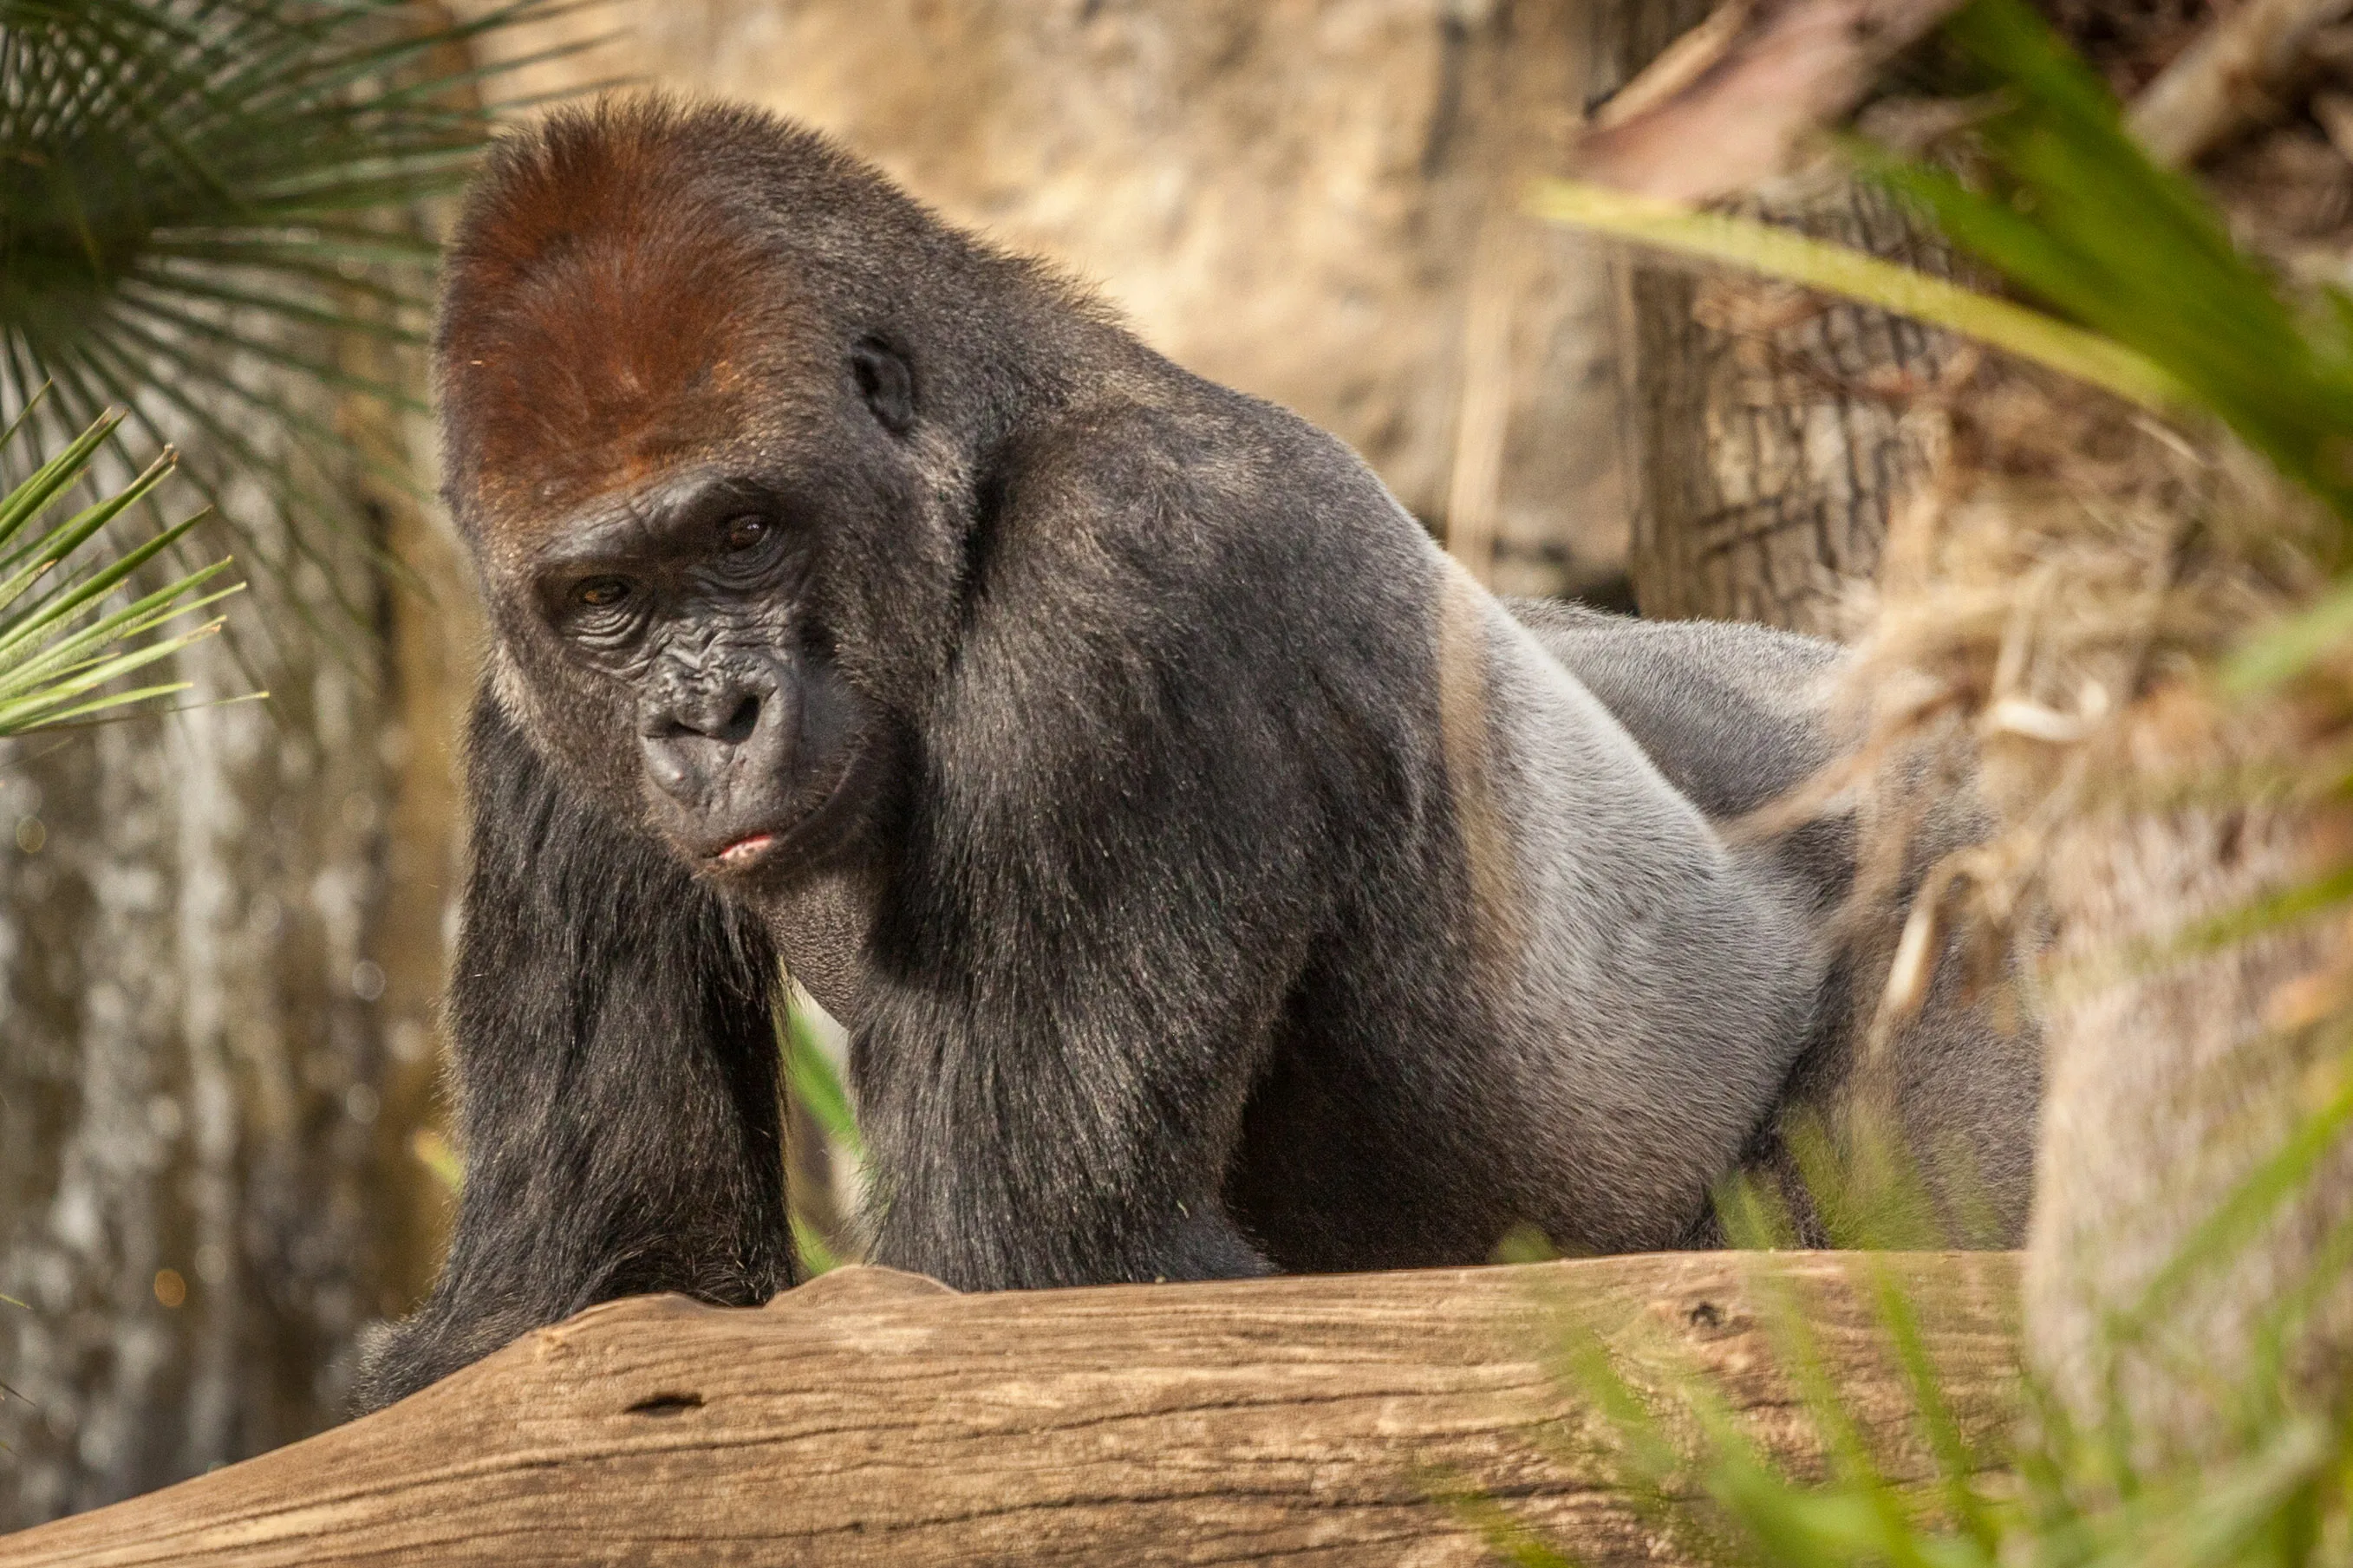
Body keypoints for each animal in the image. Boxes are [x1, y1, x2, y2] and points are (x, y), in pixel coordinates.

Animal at [353, 97, 2037, 1412]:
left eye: (744, 534)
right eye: (608, 602)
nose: (707, 720)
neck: (986, 451)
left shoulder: (1131, 578)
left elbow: (1038, 1273)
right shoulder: (533, 725)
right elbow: (602, 1298)